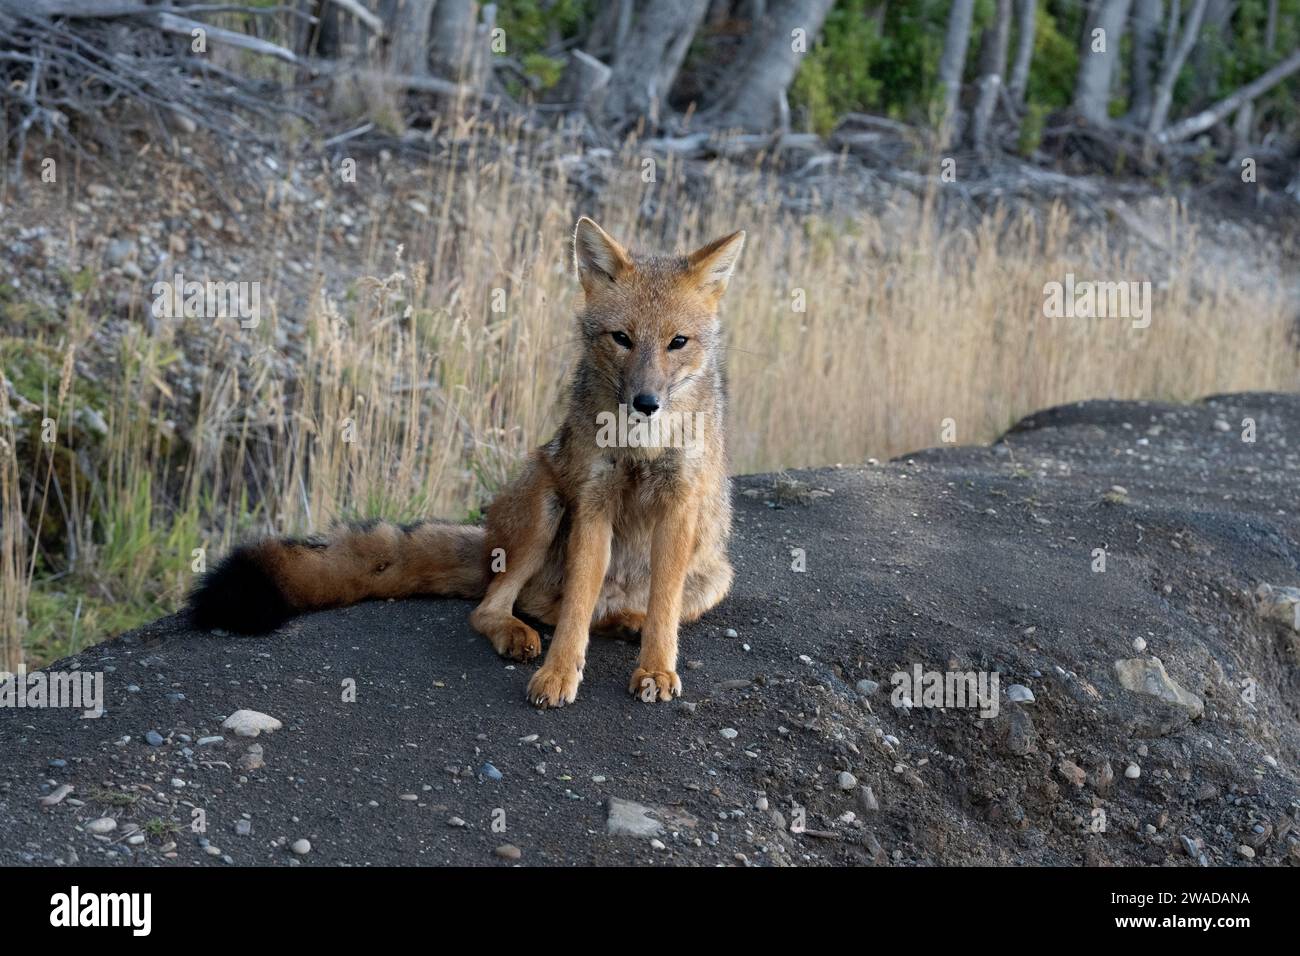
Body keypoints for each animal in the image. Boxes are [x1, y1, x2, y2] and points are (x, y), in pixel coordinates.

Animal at [188, 221, 748, 707]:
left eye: (678, 342)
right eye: (622, 338)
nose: (645, 402)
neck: (642, 445)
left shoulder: (679, 504)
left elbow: (662, 610)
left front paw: (655, 668)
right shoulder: (593, 503)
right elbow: (572, 617)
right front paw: (559, 673)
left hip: (714, 575)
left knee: (616, 611)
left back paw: (626, 621)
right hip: (546, 506)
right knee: (498, 608)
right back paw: (517, 633)